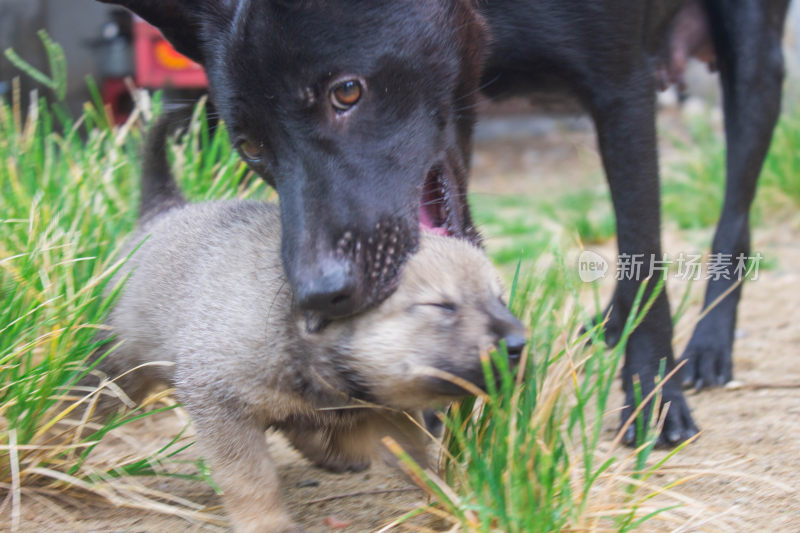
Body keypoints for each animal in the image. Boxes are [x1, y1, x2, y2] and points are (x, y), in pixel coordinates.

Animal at [100, 1, 788, 444]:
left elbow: (644, 249)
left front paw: (654, 401)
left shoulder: (622, 87)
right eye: (249, 146)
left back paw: (708, 345)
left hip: (757, 60)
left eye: (347, 91)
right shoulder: (460, 108)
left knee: (733, 215)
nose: (318, 295)